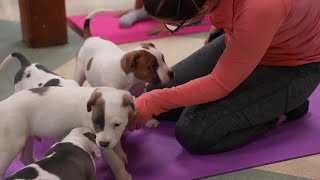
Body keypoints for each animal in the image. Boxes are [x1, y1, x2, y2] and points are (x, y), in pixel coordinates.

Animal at [0, 86, 135, 179]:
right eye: (96, 123)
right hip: (9, 146)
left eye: (117, 124)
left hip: (27, 137)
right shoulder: (100, 142)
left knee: (25, 156)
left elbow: (117, 145)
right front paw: (123, 175)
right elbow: (115, 161)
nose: (103, 143)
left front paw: (121, 154)